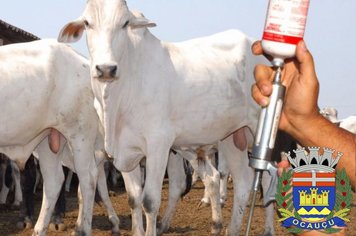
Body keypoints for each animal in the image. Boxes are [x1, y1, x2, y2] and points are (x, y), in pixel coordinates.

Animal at [0, 39, 119, 235]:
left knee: (89, 179)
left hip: (79, 135)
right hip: (48, 139)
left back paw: (83, 229)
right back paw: (40, 229)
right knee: (54, 182)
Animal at [59, 2, 270, 235]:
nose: (106, 68)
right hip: (232, 137)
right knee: (242, 183)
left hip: (262, 131)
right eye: (87, 23)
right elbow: (134, 199)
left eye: (125, 23)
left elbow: (150, 202)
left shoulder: (158, 146)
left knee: (268, 178)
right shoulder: (125, 152)